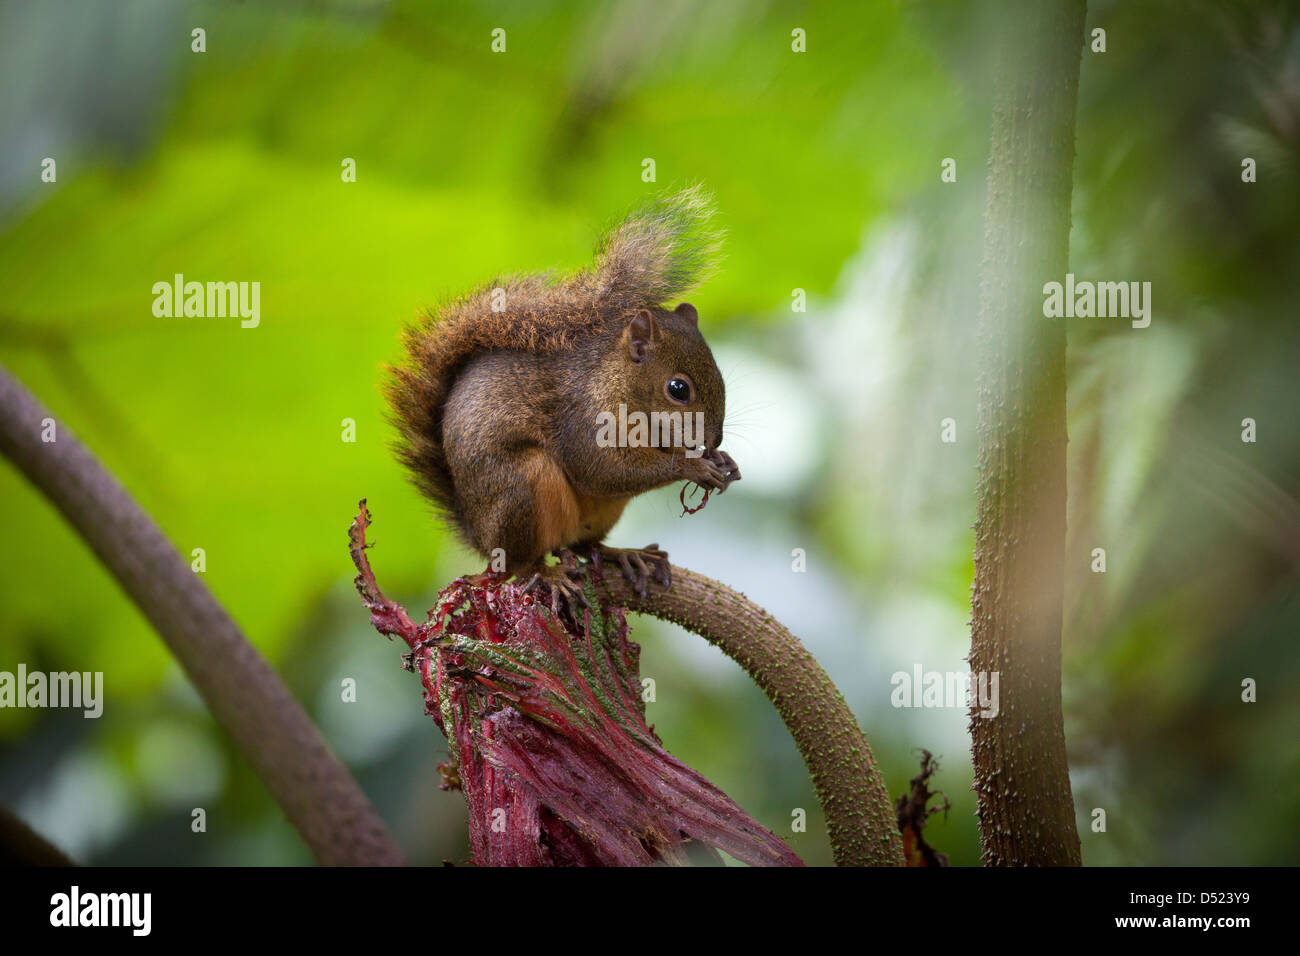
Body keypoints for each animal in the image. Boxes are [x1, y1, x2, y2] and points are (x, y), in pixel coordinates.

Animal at [382, 187, 743, 613]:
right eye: (678, 389)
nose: (716, 439)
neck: (615, 381)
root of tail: (480, 537)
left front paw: (724, 461)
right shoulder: (582, 418)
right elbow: (602, 469)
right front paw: (694, 466)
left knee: (585, 545)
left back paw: (624, 554)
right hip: (522, 488)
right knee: (519, 564)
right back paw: (548, 574)